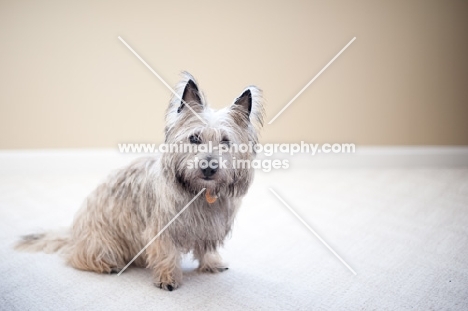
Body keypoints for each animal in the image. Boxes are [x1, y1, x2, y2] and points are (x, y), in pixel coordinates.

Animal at [15, 72, 264, 292]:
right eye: (194, 138)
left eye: (225, 141)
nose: (209, 167)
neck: (199, 192)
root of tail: (73, 233)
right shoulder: (161, 229)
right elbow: (166, 253)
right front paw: (168, 278)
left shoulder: (209, 229)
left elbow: (206, 248)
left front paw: (211, 263)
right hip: (102, 242)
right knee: (79, 256)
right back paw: (107, 265)